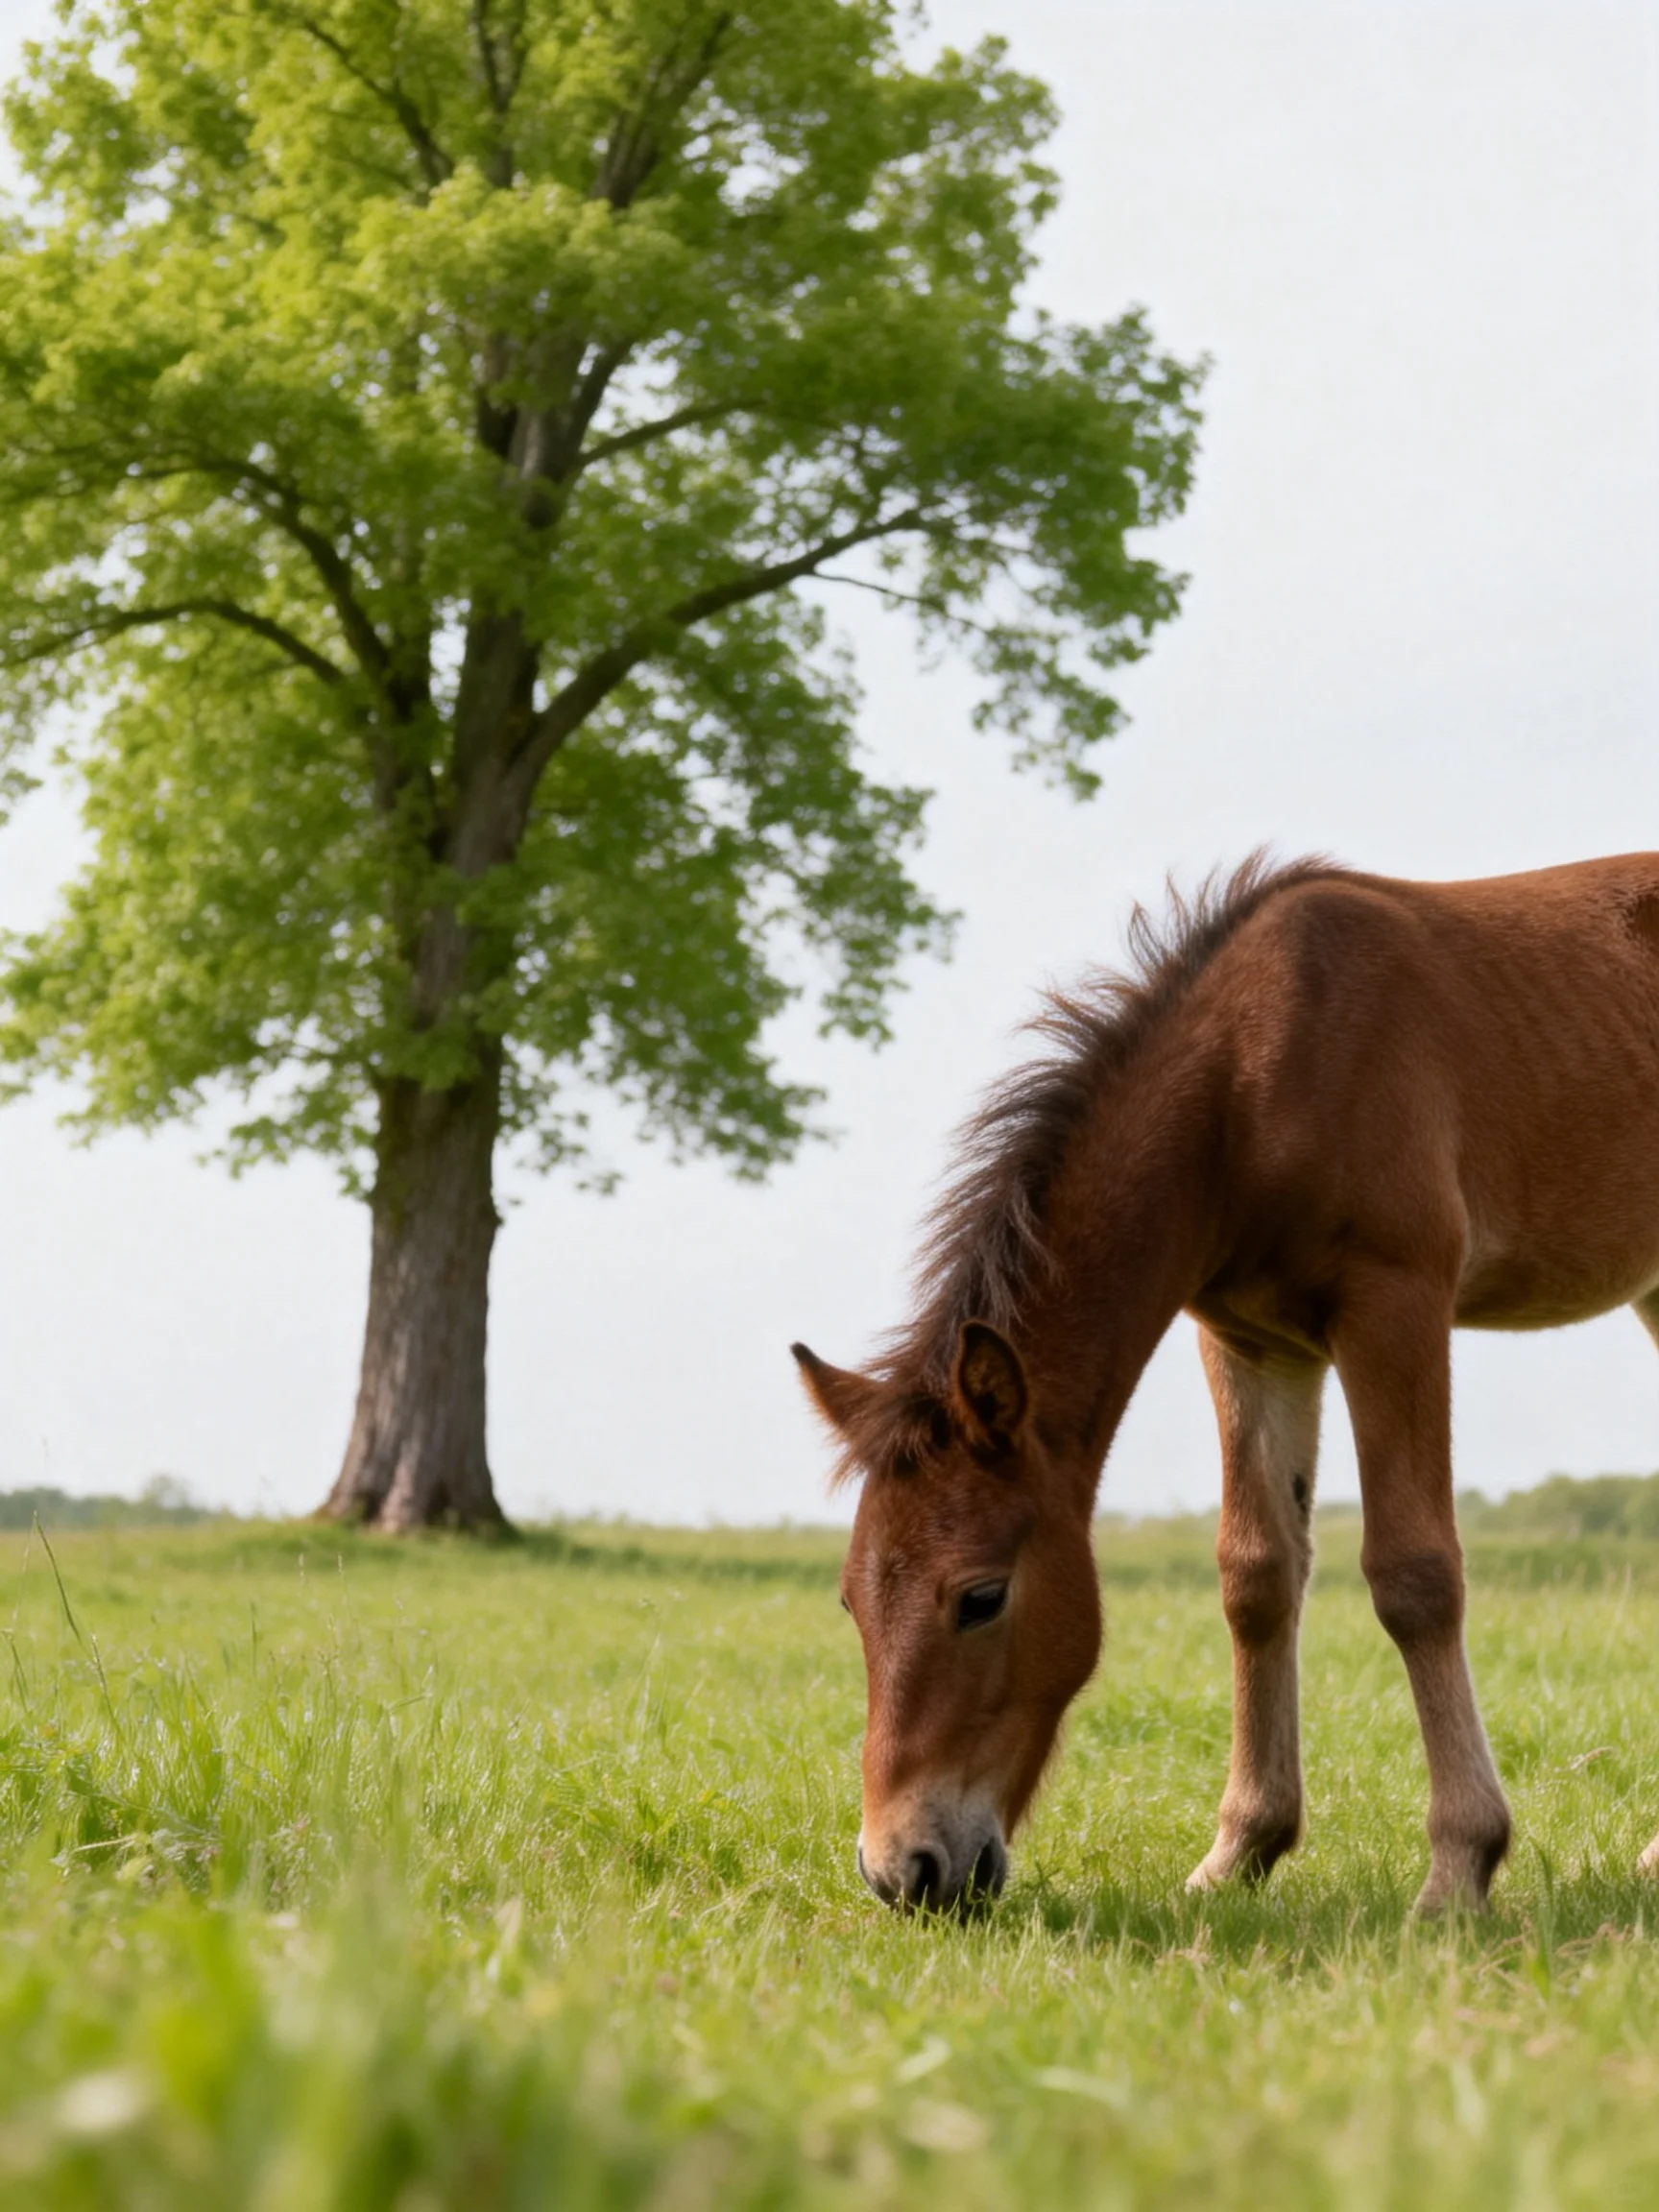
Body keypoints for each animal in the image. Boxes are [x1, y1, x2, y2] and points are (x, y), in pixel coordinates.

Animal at [792, 853, 1659, 1917]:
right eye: (850, 1603)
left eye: (982, 1597)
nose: (901, 1871)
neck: (1256, 1078)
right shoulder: (1248, 1338)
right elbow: (1258, 1573)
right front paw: (1241, 1851)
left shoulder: (1397, 1299)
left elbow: (1414, 1574)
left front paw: (1459, 1869)